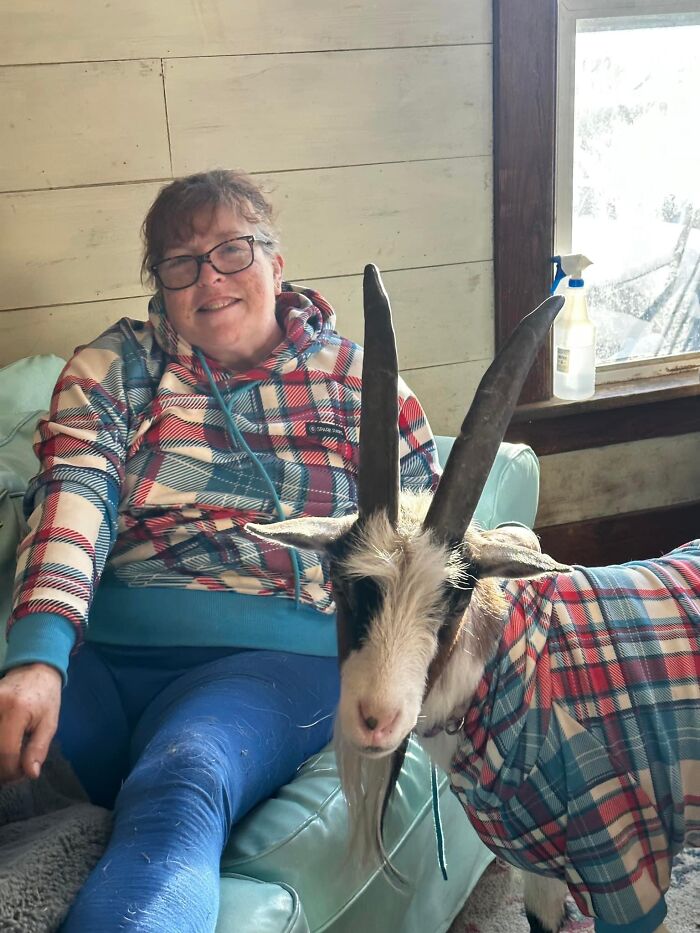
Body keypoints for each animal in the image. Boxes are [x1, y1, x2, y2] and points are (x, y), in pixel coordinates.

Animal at [248, 266, 699, 933]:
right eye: (343, 582)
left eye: (458, 595)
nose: (375, 719)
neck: (513, 679)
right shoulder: (540, 869)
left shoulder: (627, 866)